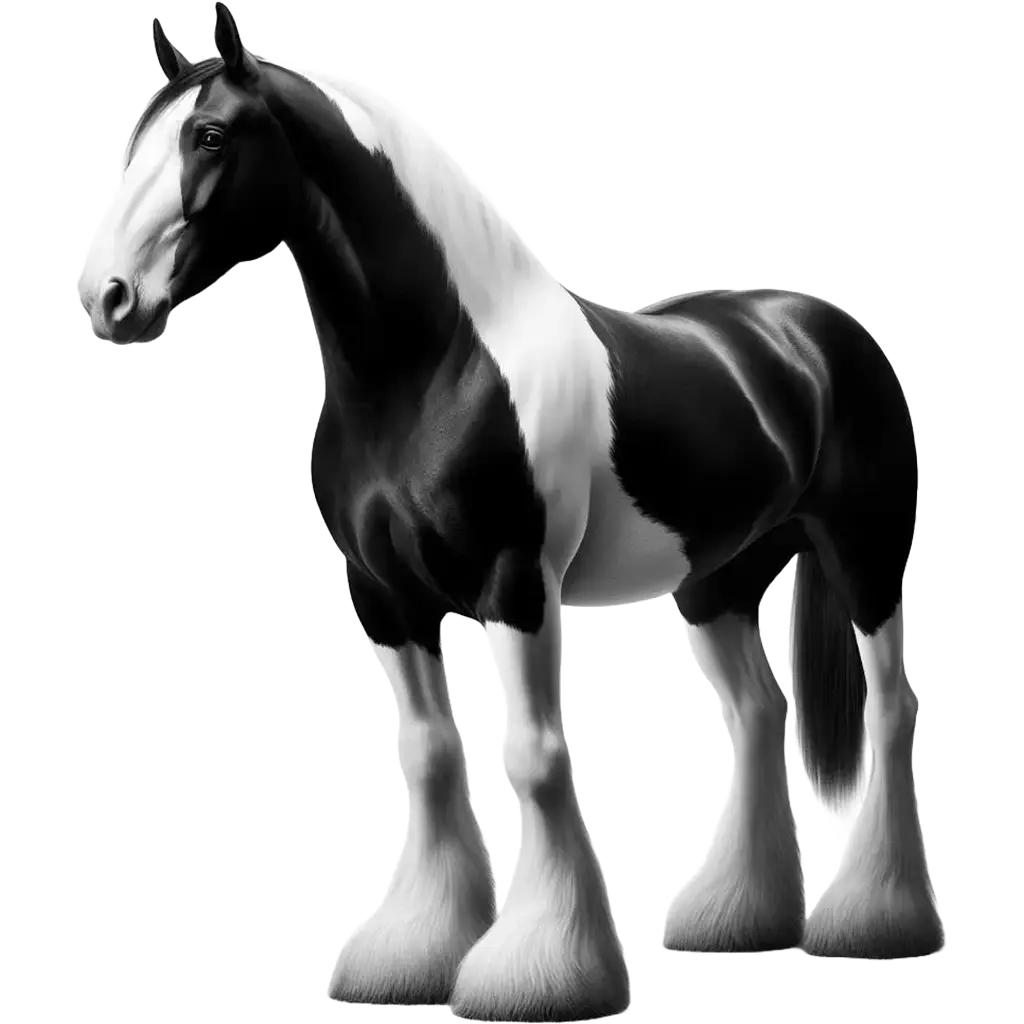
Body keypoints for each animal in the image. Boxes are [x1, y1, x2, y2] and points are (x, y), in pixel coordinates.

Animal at [76, 5, 946, 1019]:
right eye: (138, 140)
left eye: (210, 136)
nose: (106, 297)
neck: (436, 369)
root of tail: (819, 332)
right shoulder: (385, 598)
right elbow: (428, 754)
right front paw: (412, 953)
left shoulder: (517, 588)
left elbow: (534, 757)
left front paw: (542, 971)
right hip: (716, 584)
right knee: (759, 713)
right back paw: (736, 920)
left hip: (866, 559)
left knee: (891, 707)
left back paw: (880, 923)